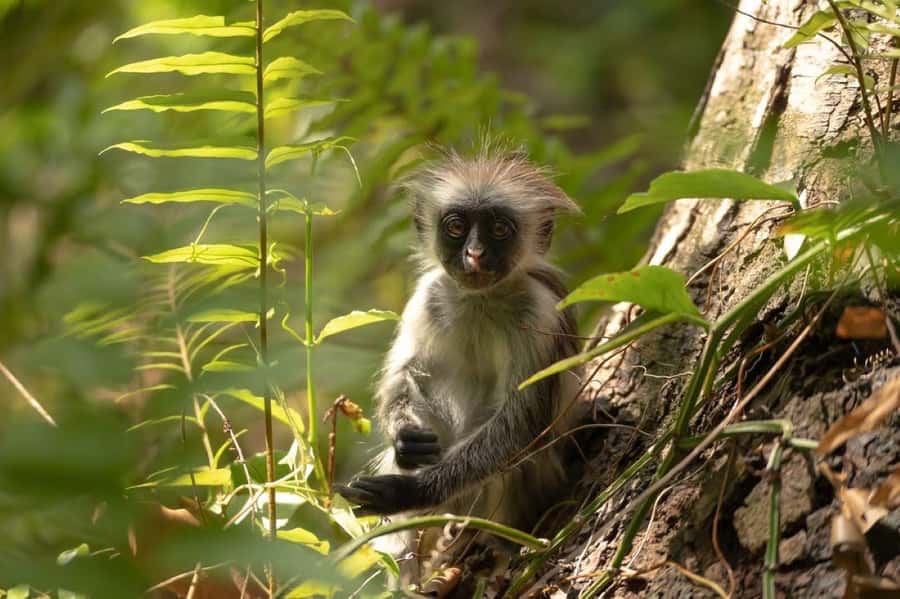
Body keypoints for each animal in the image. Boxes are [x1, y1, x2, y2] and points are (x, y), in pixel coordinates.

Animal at [336, 145, 584, 582]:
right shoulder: (430, 293)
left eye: (499, 229)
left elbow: (523, 425)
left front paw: (412, 492)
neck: (481, 300)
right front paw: (403, 437)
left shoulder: (539, 312)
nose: (475, 254)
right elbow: (406, 372)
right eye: (456, 227)